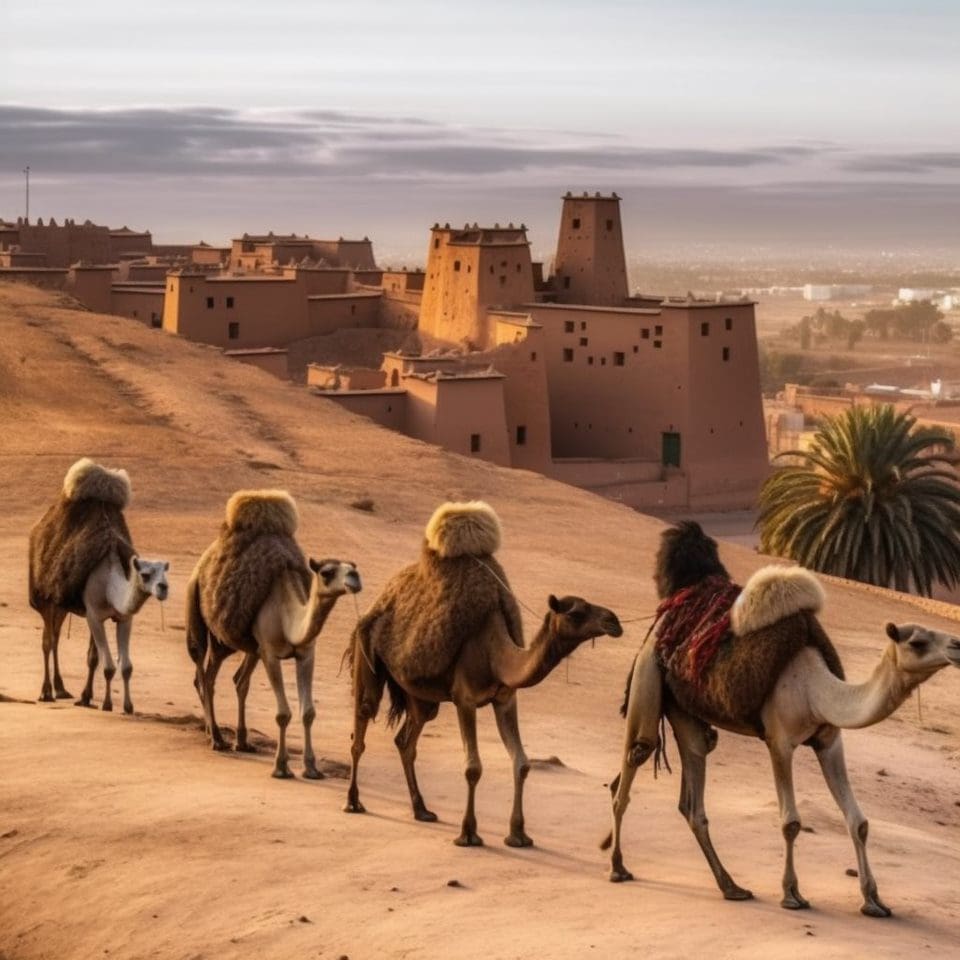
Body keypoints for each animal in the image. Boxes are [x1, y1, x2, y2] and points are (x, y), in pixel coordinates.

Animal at [29, 458, 169, 712]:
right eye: (145, 574)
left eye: (165, 572)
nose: (163, 588)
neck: (111, 583)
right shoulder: (94, 615)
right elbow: (108, 666)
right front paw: (106, 704)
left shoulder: (122, 617)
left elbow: (117, 664)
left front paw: (119, 704)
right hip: (45, 598)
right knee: (48, 641)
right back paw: (47, 692)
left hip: (62, 604)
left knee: (56, 637)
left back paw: (62, 689)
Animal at [185, 490, 361, 779]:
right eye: (327, 572)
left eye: (351, 566)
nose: (355, 578)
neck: (289, 617)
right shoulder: (270, 653)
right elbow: (283, 714)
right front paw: (281, 767)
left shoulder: (305, 653)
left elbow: (308, 712)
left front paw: (311, 768)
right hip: (198, 615)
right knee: (203, 674)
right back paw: (216, 739)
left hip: (239, 644)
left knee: (233, 679)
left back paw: (241, 741)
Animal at [344, 500, 623, 847]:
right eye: (576, 612)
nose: (614, 621)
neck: (497, 654)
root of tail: (380, 599)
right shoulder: (465, 698)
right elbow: (473, 767)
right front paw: (468, 833)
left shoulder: (505, 698)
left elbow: (522, 763)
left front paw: (519, 834)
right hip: (367, 651)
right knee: (361, 724)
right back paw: (354, 802)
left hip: (420, 695)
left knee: (406, 740)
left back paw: (422, 809)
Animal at [605, 522, 960, 917]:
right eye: (917, 642)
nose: (957, 645)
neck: (815, 688)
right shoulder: (779, 741)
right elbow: (791, 822)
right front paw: (792, 894)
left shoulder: (829, 740)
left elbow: (859, 821)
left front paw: (873, 900)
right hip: (647, 676)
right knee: (634, 763)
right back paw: (618, 867)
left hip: (687, 713)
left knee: (693, 799)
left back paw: (732, 886)